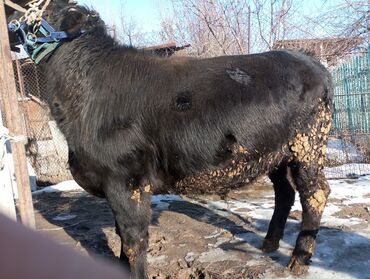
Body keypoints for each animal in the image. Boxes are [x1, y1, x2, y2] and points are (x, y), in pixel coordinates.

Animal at [7, 2, 334, 279]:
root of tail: (313, 63)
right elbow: (121, 236)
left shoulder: (126, 179)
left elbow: (133, 239)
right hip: (275, 153)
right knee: (285, 191)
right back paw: (269, 244)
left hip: (308, 146)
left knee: (315, 193)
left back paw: (299, 260)